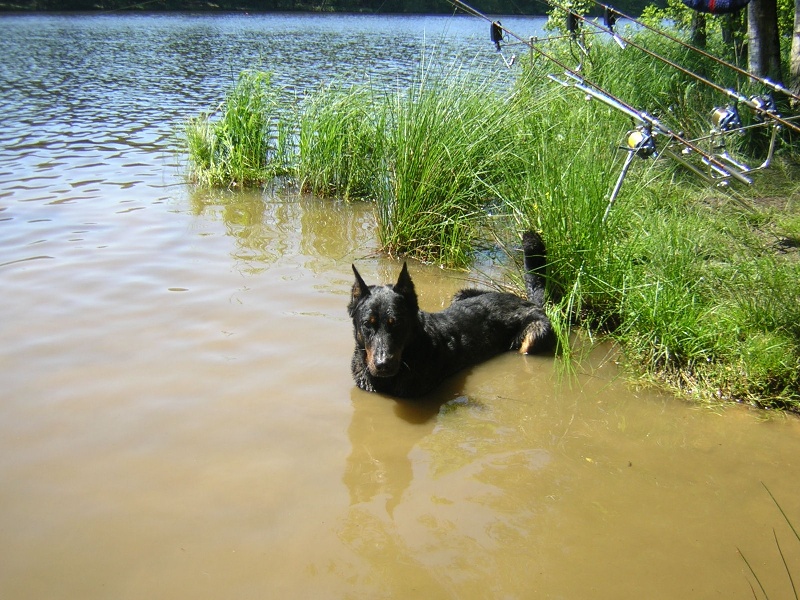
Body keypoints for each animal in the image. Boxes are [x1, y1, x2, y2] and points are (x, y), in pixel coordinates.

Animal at [346, 231, 552, 398]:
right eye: (368, 324)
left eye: (396, 323)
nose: (383, 364)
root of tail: (526, 300)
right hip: (460, 294)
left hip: (535, 334)